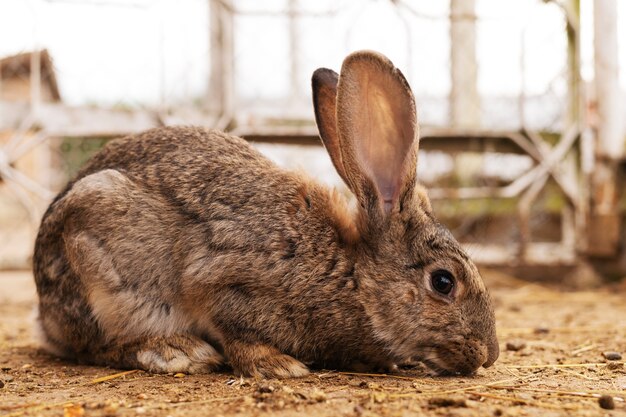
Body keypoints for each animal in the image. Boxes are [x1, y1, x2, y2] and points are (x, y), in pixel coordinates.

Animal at [33, 51, 498, 376]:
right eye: (443, 282)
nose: (489, 354)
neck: (352, 274)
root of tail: (44, 314)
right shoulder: (225, 283)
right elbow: (236, 333)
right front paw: (279, 366)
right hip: (96, 262)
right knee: (93, 345)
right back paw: (175, 351)